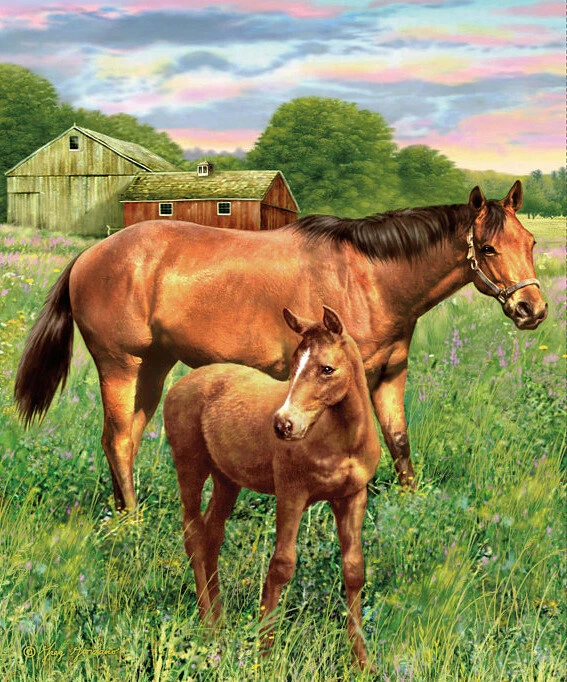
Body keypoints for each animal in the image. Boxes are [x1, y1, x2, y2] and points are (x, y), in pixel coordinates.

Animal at [14, 181, 547, 511]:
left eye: (531, 241)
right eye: (489, 248)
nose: (533, 309)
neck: (367, 277)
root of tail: (89, 255)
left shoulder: (388, 376)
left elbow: (399, 441)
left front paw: (411, 508)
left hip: (152, 369)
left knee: (125, 440)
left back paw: (127, 510)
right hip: (121, 366)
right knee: (119, 439)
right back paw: (133, 524)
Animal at [163, 306, 381, 669]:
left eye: (327, 369)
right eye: (293, 366)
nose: (283, 425)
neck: (343, 440)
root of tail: (181, 383)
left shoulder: (352, 497)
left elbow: (354, 570)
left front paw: (362, 662)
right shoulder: (291, 494)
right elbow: (281, 566)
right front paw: (264, 654)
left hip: (227, 479)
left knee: (211, 536)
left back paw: (220, 623)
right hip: (190, 468)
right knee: (193, 535)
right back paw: (208, 627)